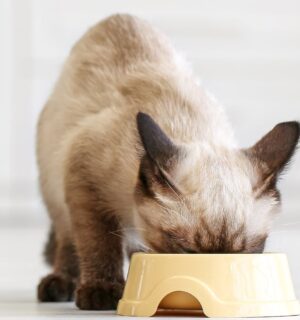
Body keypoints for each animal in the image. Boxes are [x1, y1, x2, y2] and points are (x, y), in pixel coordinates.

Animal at [36, 14, 298, 310]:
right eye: (187, 251)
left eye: (247, 252)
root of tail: (118, 16)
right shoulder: (84, 181)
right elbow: (98, 244)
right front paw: (102, 291)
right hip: (55, 187)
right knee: (68, 239)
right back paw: (60, 285)